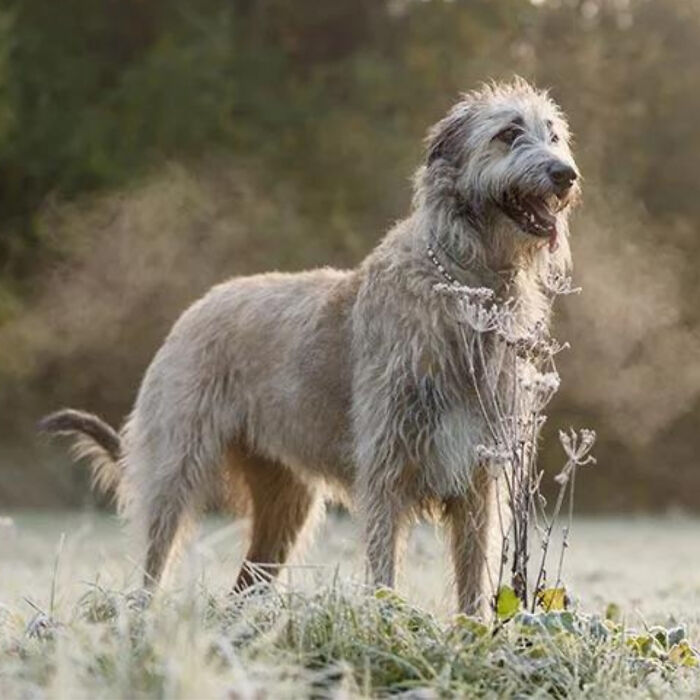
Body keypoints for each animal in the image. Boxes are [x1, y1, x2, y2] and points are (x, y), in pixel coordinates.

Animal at [42, 78, 580, 612]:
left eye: (553, 135)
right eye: (509, 133)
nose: (566, 175)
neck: (467, 285)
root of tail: (193, 311)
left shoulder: (478, 478)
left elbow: (474, 578)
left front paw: (473, 629)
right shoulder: (386, 468)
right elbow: (384, 566)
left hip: (285, 500)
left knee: (248, 582)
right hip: (176, 466)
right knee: (156, 556)